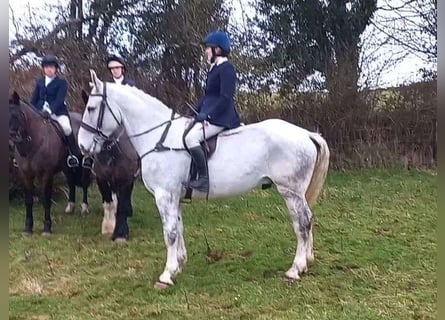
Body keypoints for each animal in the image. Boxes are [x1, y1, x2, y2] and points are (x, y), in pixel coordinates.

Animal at [8, 91, 92, 234]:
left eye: (19, 115)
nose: (12, 140)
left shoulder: (46, 173)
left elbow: (46, 199)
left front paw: (47, 228)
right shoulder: (25, 173)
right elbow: (28, 200)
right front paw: (28, 228)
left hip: (85, 163)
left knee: (85, 182)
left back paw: (85, 208)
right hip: (66, 167)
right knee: (71, 182)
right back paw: (70, 207)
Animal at [81, 89, 139, 241]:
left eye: (91, 110)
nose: (83, 145)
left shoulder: (127, 177)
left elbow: (123, 202)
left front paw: (121, 233)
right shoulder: (101, 177)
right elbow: (108, 201)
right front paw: (108, 227)